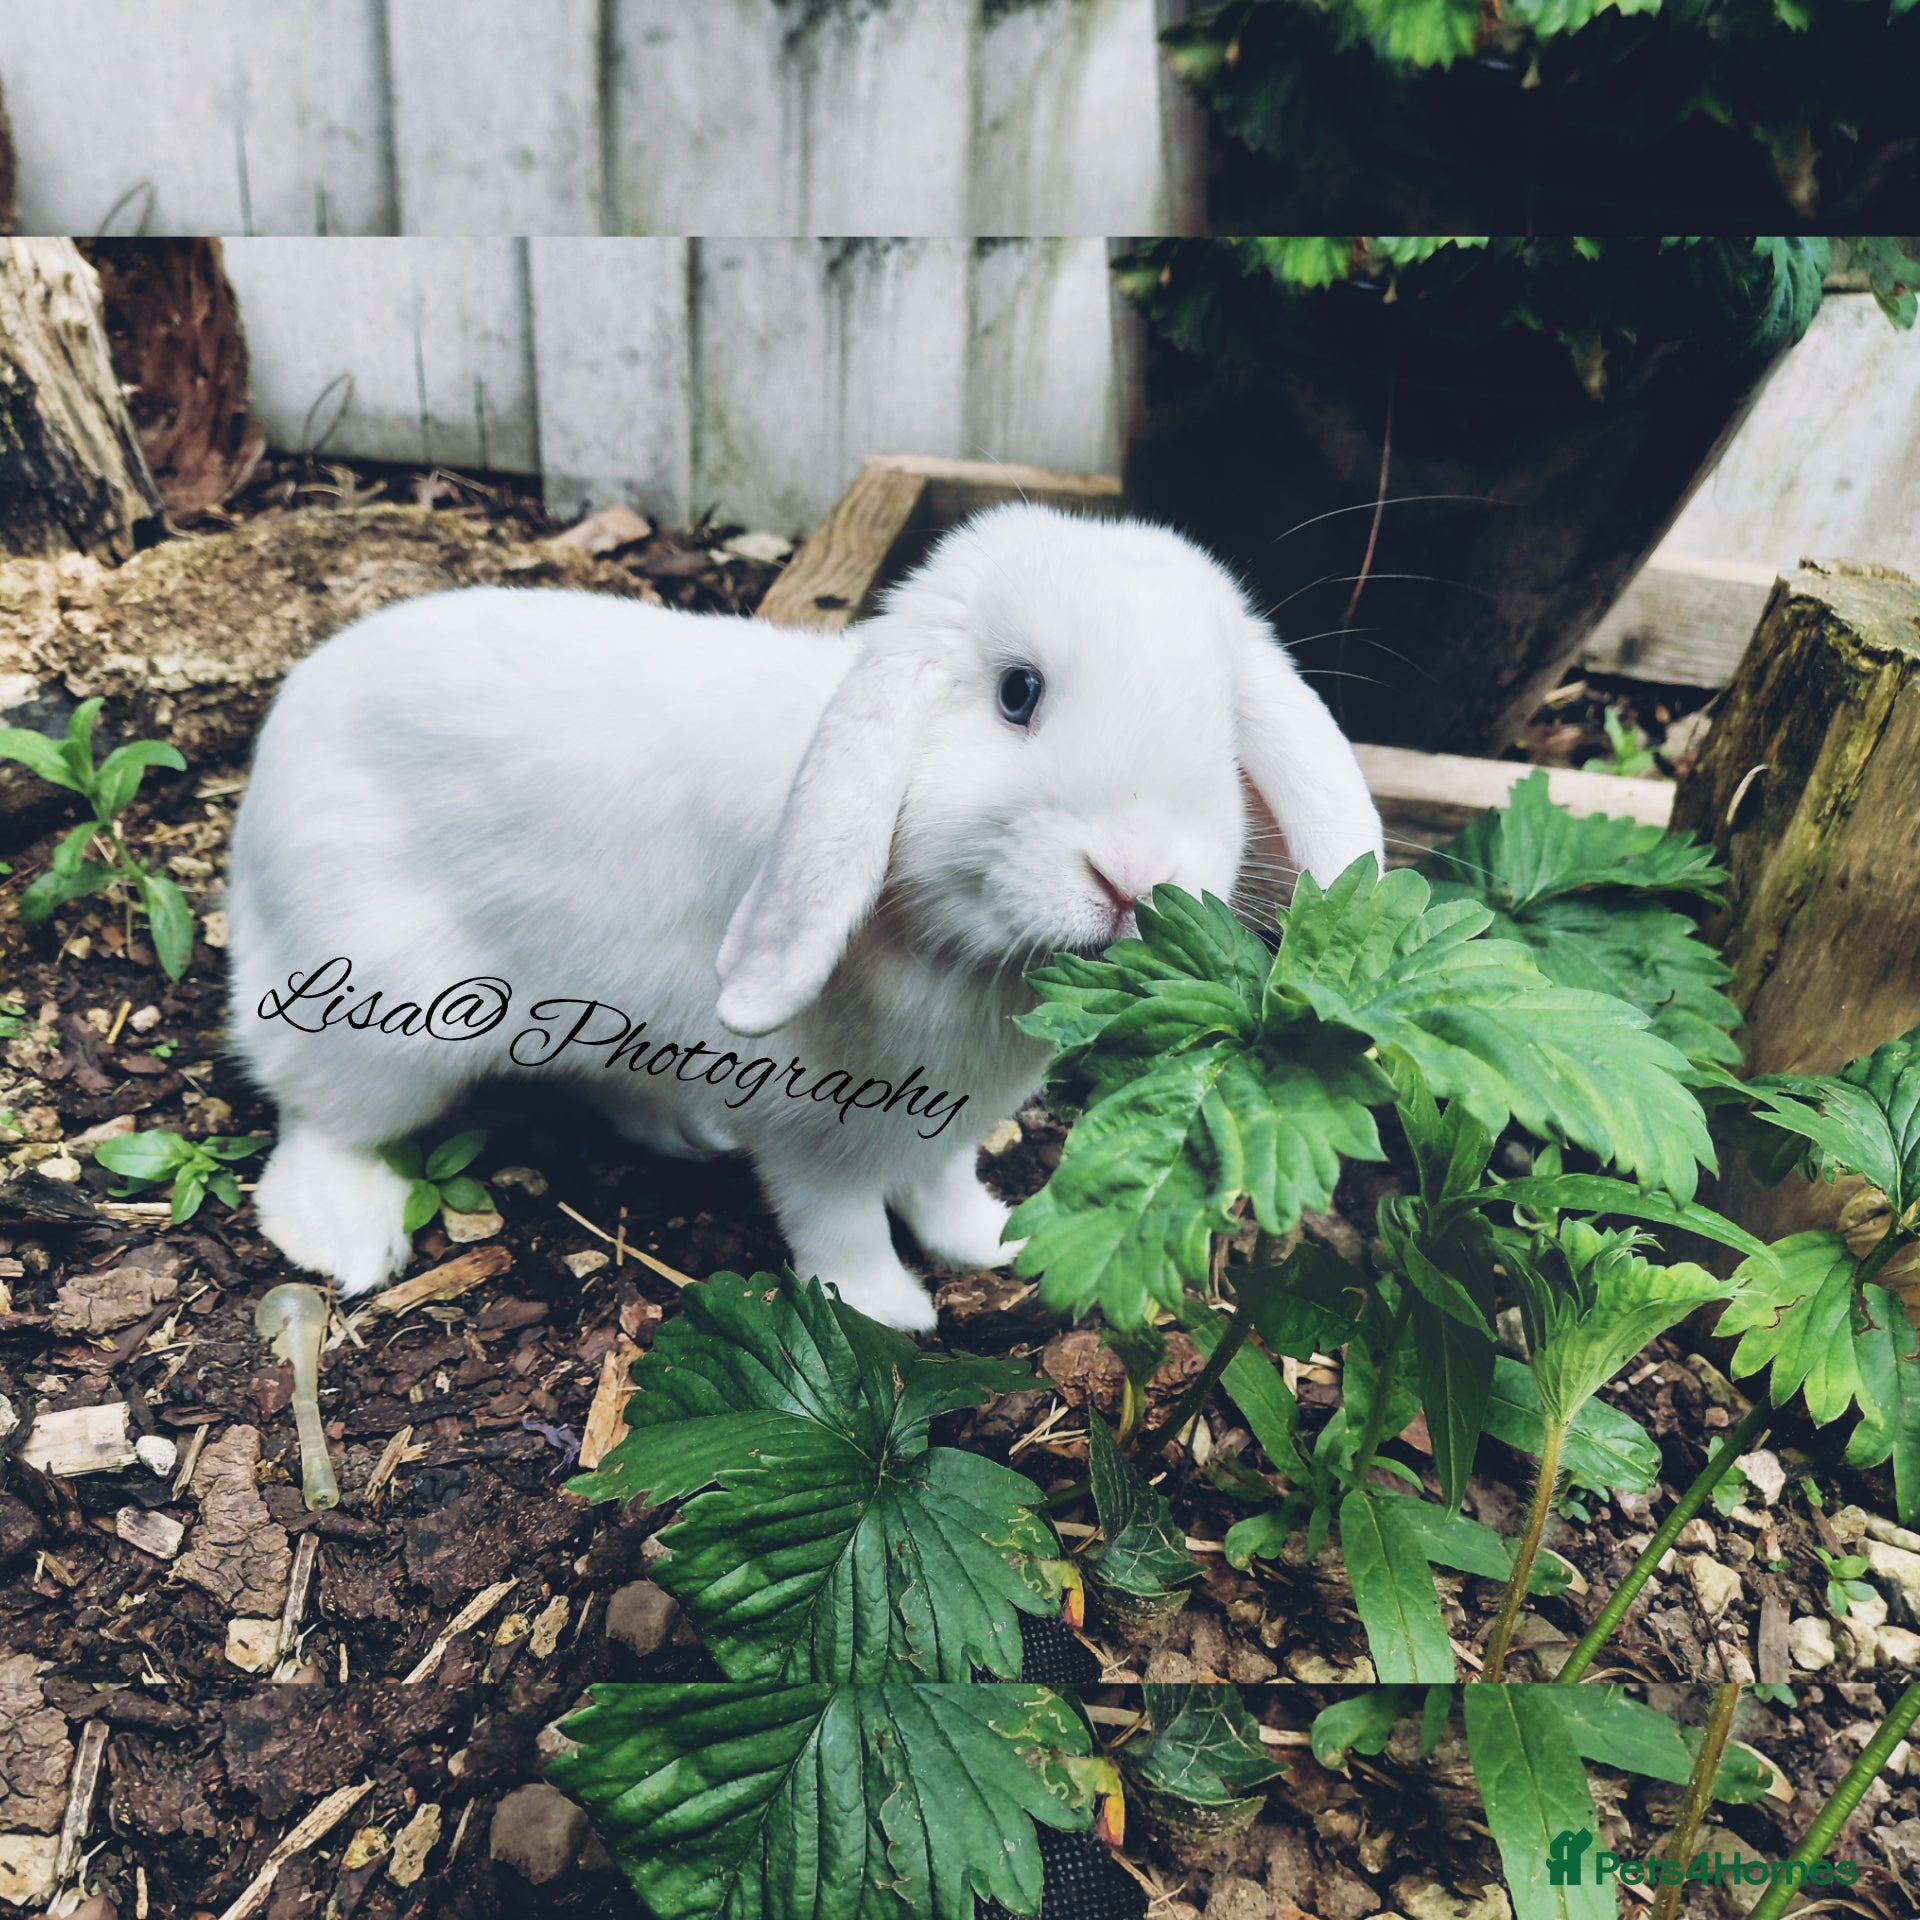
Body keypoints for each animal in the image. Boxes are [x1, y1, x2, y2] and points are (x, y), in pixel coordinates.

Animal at [225, 502, 1384, 1332]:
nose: (1132, 875)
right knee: (317, 1118)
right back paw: (344, 1232)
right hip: (382, 1018)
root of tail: (277, 745)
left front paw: (991, 1243)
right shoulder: (812, 1130)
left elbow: (942, 1185)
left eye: (1222, 734)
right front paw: (887, 1311)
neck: (960, 947)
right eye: (1018, 693)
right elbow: (839, 1227)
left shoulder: (944, 1125)